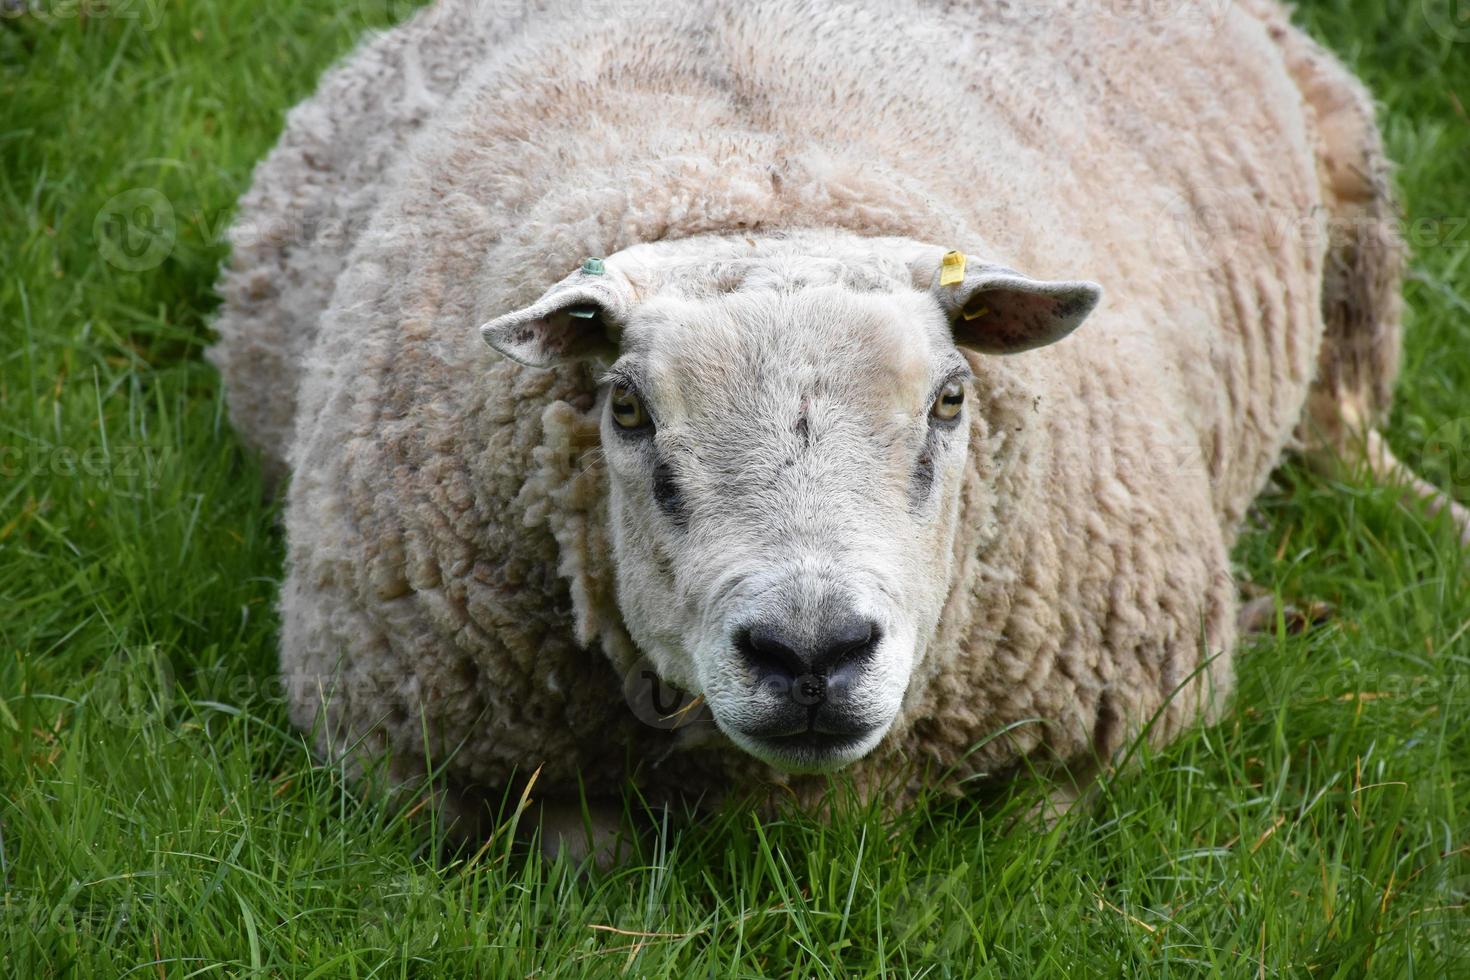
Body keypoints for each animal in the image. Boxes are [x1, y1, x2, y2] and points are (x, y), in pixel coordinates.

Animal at [210, 0, 1470, 846]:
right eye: (627, 407)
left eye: (952, 396)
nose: (811, 652)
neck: (762, 191)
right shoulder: (429, 764)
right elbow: (581, 849)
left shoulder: (1113, 721)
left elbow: (1027, 832)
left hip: (1352, 206)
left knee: (1347, 430)